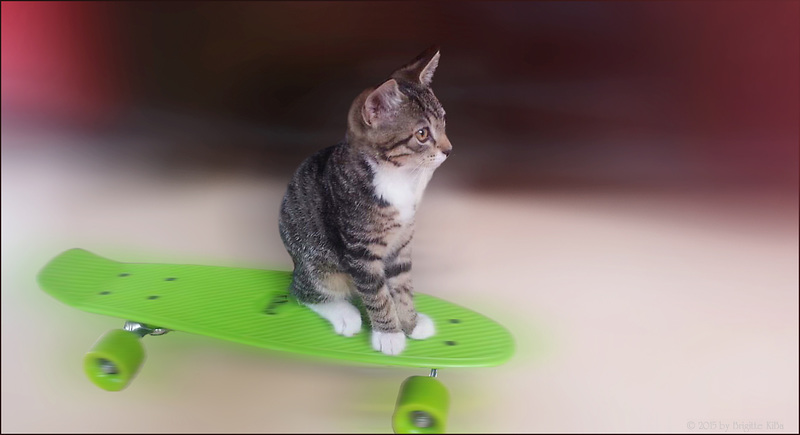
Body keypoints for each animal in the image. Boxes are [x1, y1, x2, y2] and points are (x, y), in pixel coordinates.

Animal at [276, 46, 450, 356]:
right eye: (422, 134)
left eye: (443, 124)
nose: (448, 149)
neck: (398, 178)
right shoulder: (360, 249)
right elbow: (376, 292)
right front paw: (389, 334)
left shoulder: (402, 243)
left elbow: (402, 284)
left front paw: (411, 322)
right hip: (318, 265)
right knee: (304, 292)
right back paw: (344, 314)